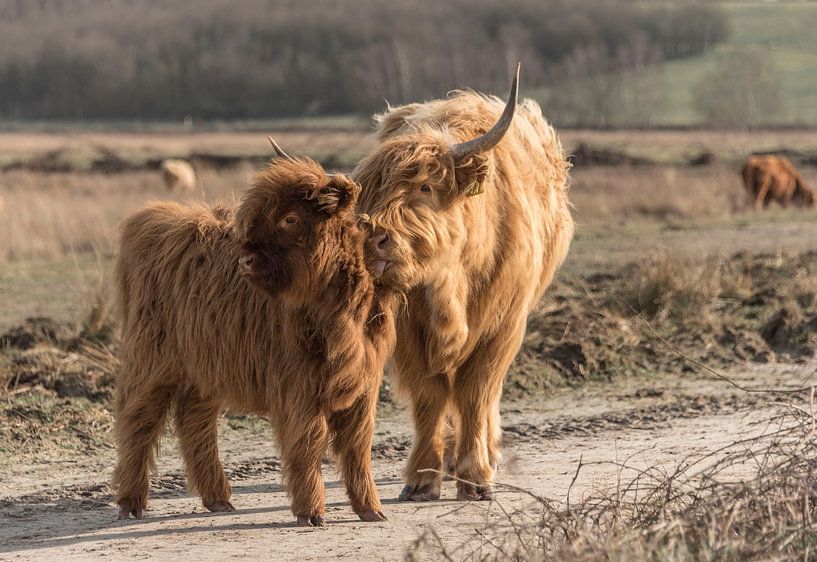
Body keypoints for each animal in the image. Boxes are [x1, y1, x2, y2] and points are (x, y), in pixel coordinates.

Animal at [112, 144, 396, 526]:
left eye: (290, 219)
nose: (245, 261)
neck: (339, 312)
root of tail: (151, 218)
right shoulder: (298, 384)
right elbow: (308, 443)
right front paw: (311, 512)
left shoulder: (364, 382)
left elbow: (357, 445)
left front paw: (370, 508)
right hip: (152, 358)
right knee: (138, 420)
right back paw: (130, 502)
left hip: (206, 362)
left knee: (194, 419)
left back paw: (217, 498)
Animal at [354, 65, 574, 501]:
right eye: (367, 193)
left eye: (424, 187)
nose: (373, 238)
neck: (448, 285)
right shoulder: (408, 333)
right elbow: (431, 397)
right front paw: (424, 477)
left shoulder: (503, 325)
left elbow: (476, 392)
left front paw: (475, 477)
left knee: (485, 395)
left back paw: (486, 454)